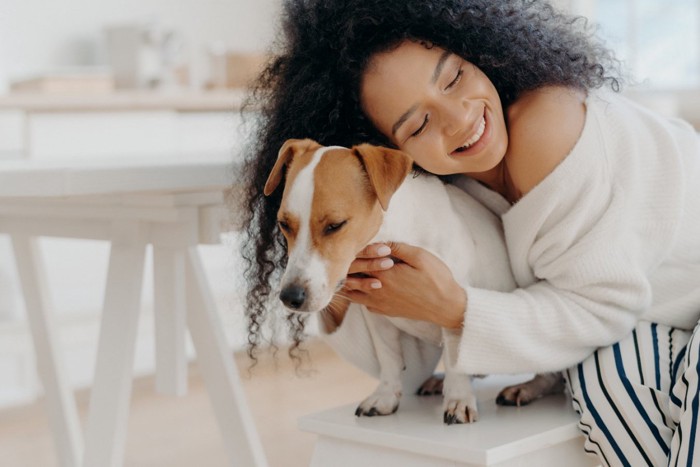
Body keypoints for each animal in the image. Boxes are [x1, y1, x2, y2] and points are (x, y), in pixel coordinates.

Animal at [262, 138, 564, 424]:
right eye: (284, 224)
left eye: (335, 225)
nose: (290, 297)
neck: (395, 234)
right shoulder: (378, 316)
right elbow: (389, 358)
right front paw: (385, 396)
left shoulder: (452, 306)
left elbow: (455, 360)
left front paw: (458, 400)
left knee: (550, 374)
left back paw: (527, 387)